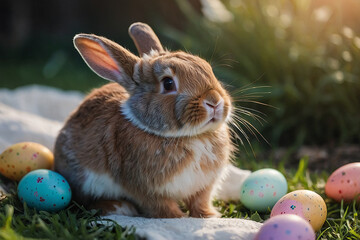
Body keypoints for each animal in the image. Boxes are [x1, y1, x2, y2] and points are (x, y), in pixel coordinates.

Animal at [52, 22, 233, 218]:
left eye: (208, 69)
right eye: (168, 83)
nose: (214, 101)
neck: (190, 136)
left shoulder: (204, 186)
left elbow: (200, 201)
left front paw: (209, 216)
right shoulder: (145, 190)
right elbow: (161, 207)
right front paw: (178, 218)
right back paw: (118, 207)